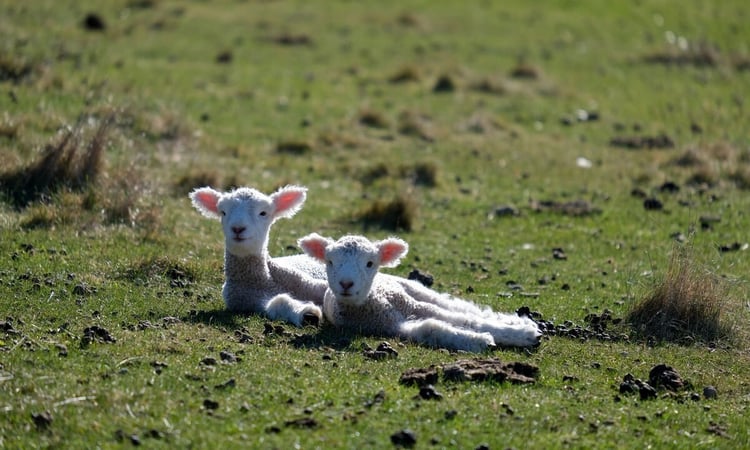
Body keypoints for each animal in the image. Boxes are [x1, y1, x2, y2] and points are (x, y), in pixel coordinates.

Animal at [190, 185, 327, 326]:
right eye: (223, 212)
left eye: (263, 213)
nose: (237, 228)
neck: (263, 282)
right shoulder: (251, 301)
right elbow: (278, 302)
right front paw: (308, 313)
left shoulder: (306, 283)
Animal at [298, 233, 542, 351]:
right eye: (329, 262)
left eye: (370, 263)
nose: (346, 284)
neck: (375, 305)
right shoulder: (394, 327)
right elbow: (431, 328)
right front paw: (480, 340)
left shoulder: (413, 305)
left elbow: (467, 319)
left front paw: (521, 334)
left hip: (417, 292)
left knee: (463, 309)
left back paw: (519, 323)